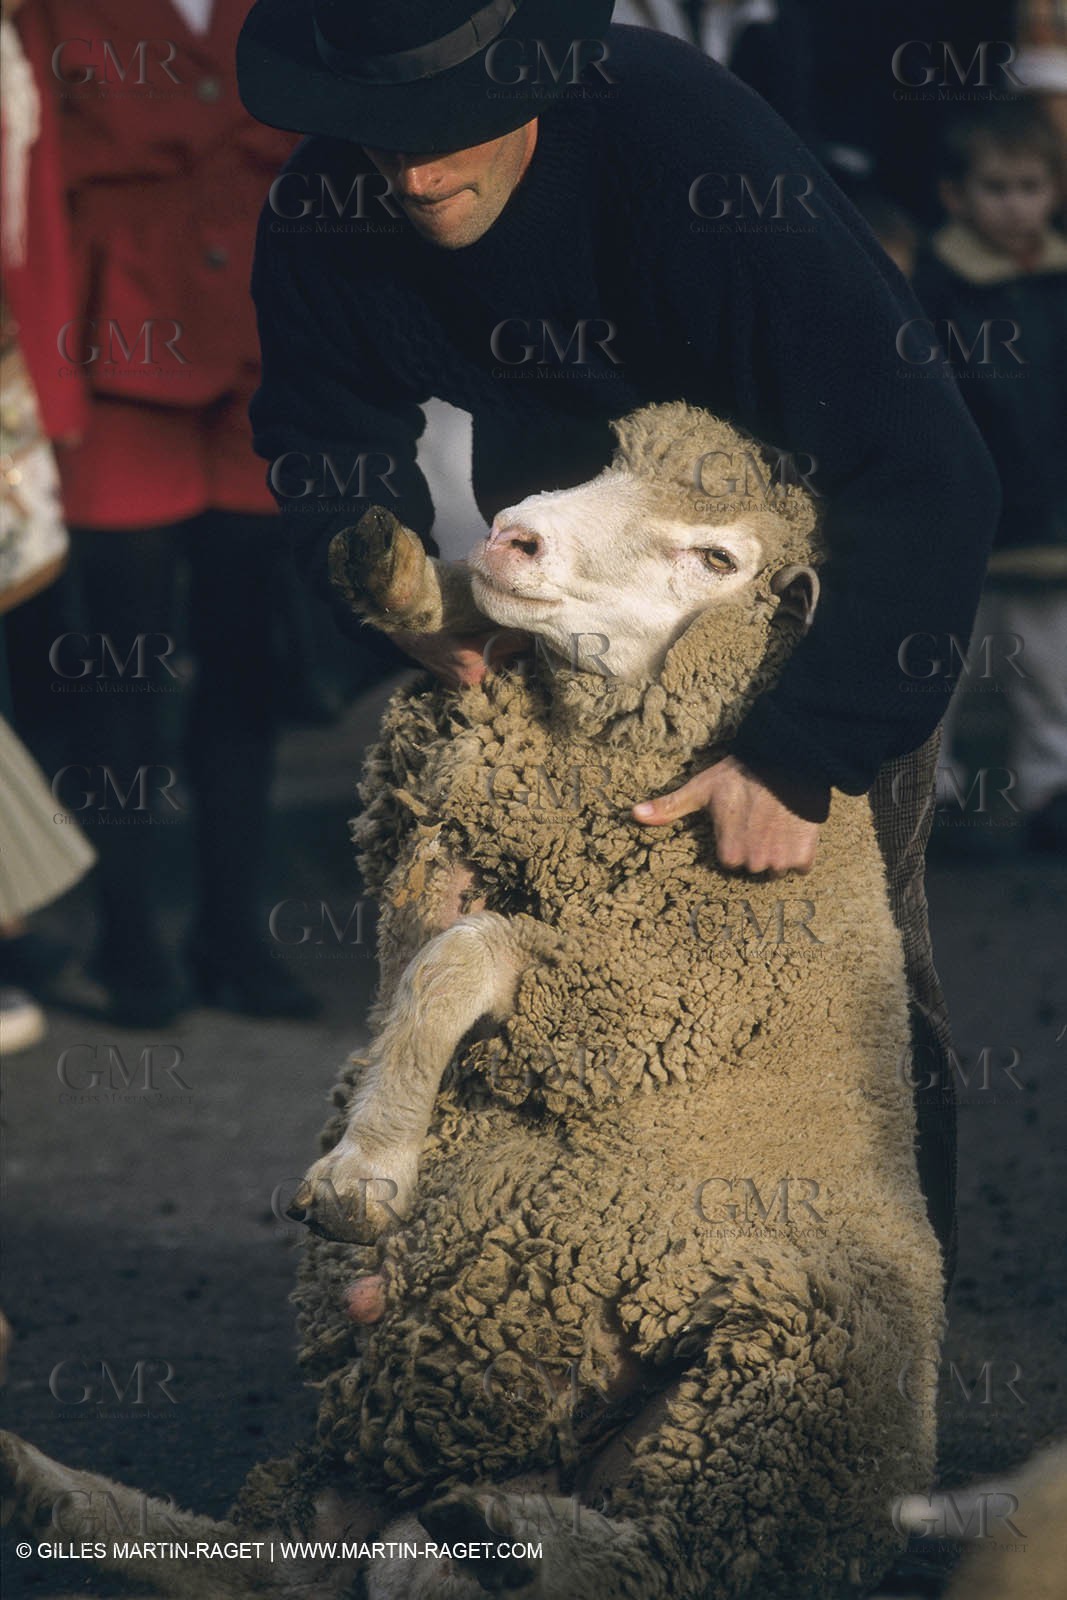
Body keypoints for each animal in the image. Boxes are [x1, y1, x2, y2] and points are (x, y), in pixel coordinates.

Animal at [0, 404, 945, 1600]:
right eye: (607, 459)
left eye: (718, 559)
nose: (512, 534)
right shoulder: (421, 828)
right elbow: (434, 921)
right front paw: (397, 573)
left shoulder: (635, 999)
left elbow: (463, 956)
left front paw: (364, 1169)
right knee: (259, 1566)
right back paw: (42, 1483)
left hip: (763, 1385)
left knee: (658, 1560)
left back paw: (504, 1536)